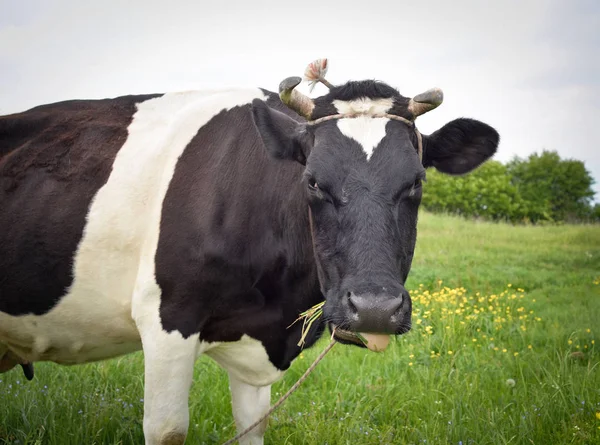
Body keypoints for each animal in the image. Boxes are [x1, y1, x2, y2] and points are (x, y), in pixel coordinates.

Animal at [0, 61, 496, 440]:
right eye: (312, 181)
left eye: (417, 181)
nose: (375, 308)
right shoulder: (166, 319)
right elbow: (167, 430)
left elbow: (252, 427)